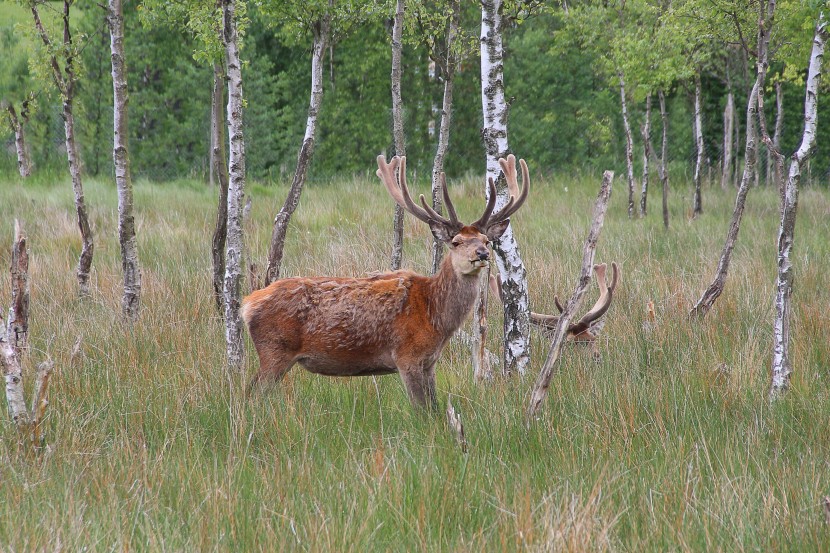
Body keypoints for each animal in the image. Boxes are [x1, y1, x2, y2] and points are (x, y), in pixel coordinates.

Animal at [239, 153, 532, 408]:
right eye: (456, 242)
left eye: (486, 241)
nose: (481, 254)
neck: (435, 317)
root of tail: (248, 303)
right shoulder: (407, 356)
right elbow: (423, 411)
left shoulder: (430, 362)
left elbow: (435, 408)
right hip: (274, 350)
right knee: (251, 395)